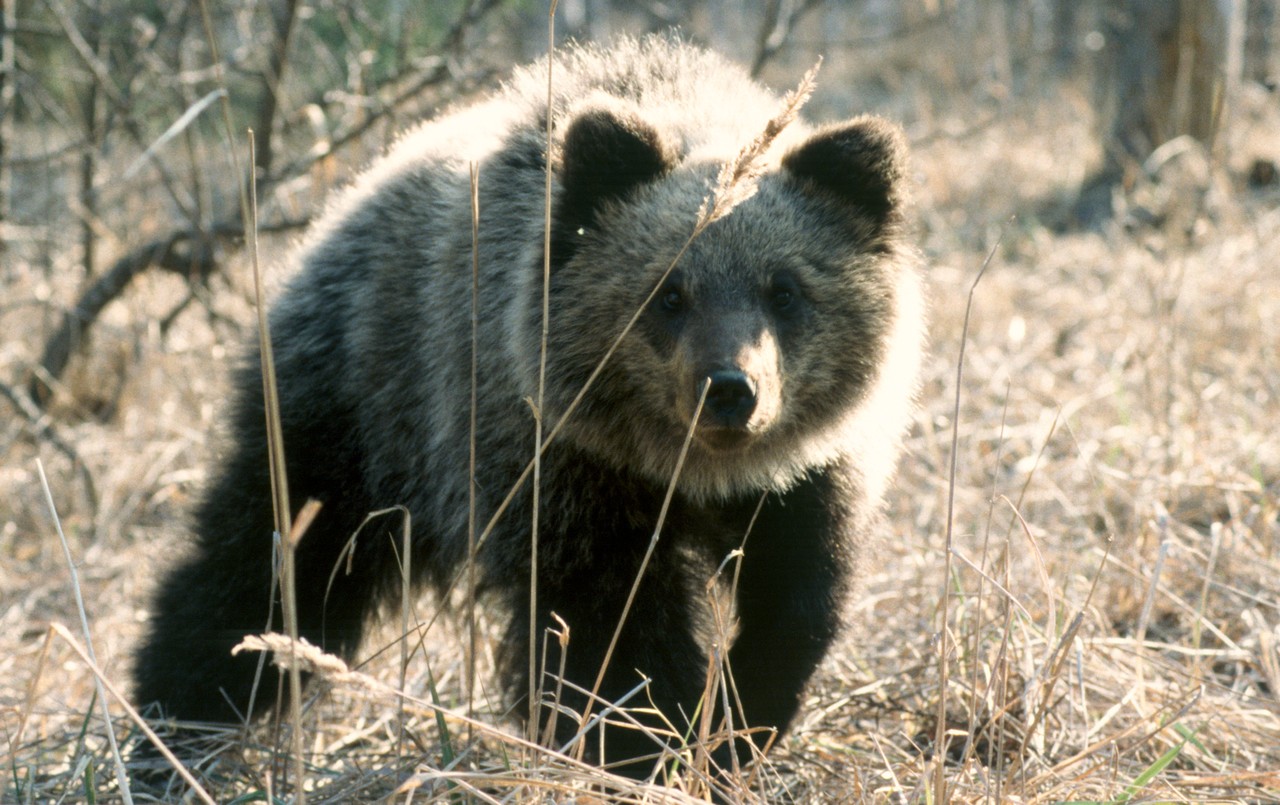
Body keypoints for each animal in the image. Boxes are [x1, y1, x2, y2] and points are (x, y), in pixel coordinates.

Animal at [135, 32, 926, 778]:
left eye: (785, 289)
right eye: (669, 291)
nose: (730, 389)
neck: (688, 472)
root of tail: (354, 192)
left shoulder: (805, 479)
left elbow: (798, 598)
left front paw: (735, 722)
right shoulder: (560, 467)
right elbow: (608, 629)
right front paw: (648, 742)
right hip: (362, 410)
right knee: (266, 567)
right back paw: (173, 718)